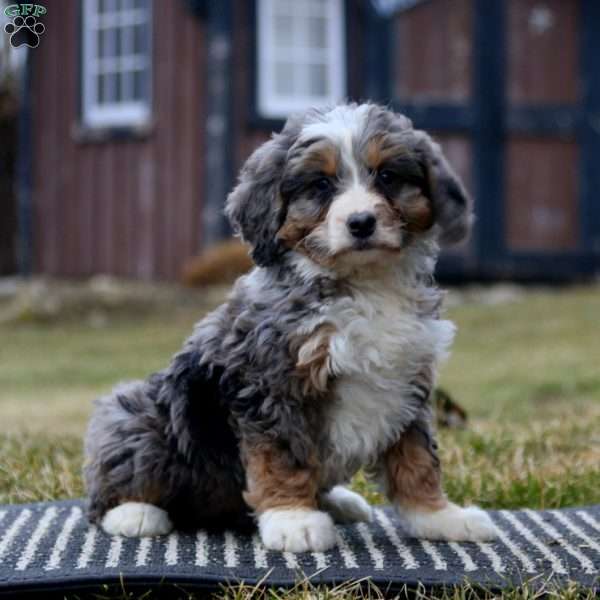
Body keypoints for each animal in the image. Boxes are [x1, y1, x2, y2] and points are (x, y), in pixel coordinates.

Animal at [84, 103, 496, 552]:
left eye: (387, 176)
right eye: (321, 184)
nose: (361, 223)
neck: (363, 285)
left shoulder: (409, 383)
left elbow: (418, 458)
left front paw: (438, 517)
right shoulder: (271, 382)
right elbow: (282, 454)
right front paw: (293, 520)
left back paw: (338, 503)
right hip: (139, 413)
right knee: (109, 488)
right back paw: (135, 513)